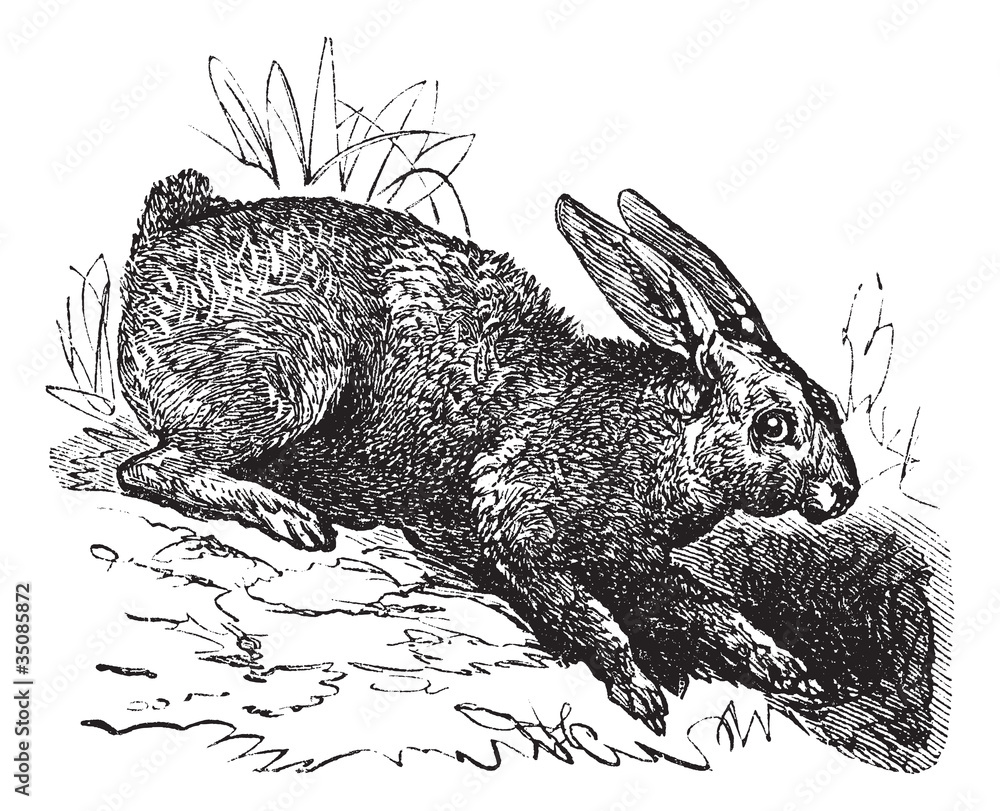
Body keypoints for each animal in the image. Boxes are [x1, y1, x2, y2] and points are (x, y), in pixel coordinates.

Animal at [116, 169, 858, 731]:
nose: (845, 492)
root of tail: (155, 249)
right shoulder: (517, 520)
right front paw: (641, 693)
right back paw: (291, 517)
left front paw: (789, 670)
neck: (657, 433)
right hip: (292, 383)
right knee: (153, 467)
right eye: (773, 425)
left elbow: (706, 607)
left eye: (827, 401)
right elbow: (589, 615)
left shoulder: (637, 558)